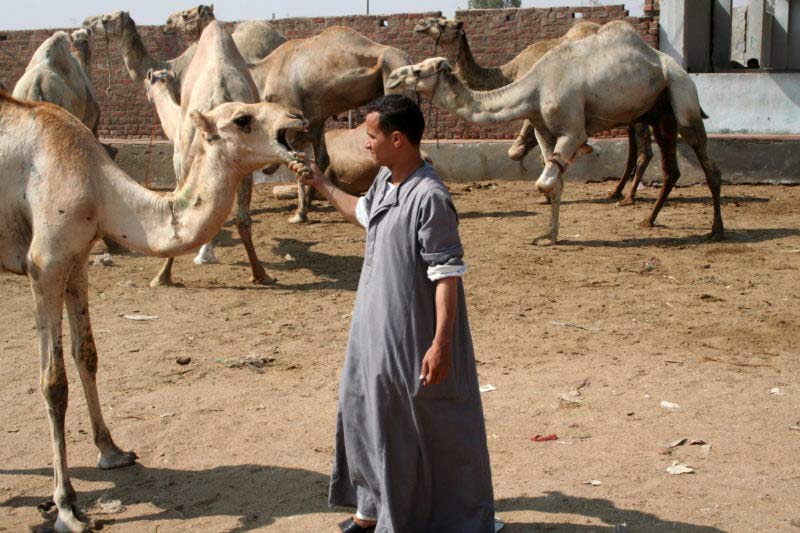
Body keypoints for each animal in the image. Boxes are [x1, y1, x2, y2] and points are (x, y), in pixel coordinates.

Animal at [248, 25, 412, 222]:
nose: (265, 168)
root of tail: (407, 60)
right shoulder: (315, 120)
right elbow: (319, 158)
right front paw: (303, 210)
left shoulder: (292, 114)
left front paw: (299, 214)